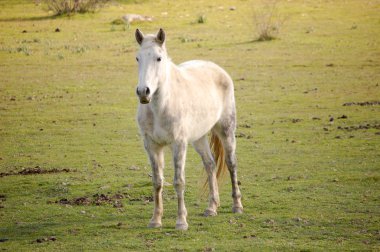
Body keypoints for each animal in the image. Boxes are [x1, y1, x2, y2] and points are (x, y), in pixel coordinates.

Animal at [134, 28, 243, 230]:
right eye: (138, 58)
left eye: (159, 58)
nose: (143, 92)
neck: (161, 107)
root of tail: (218, 69)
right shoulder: (152, 146)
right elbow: (157, 182)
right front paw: (155, 220)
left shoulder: (179, 144)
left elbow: (179, 181)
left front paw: (181, 221)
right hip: (199, 138)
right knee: (210, 164)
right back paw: (211, 208)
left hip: (226, 130)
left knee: (231, 164)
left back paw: (237, 205)